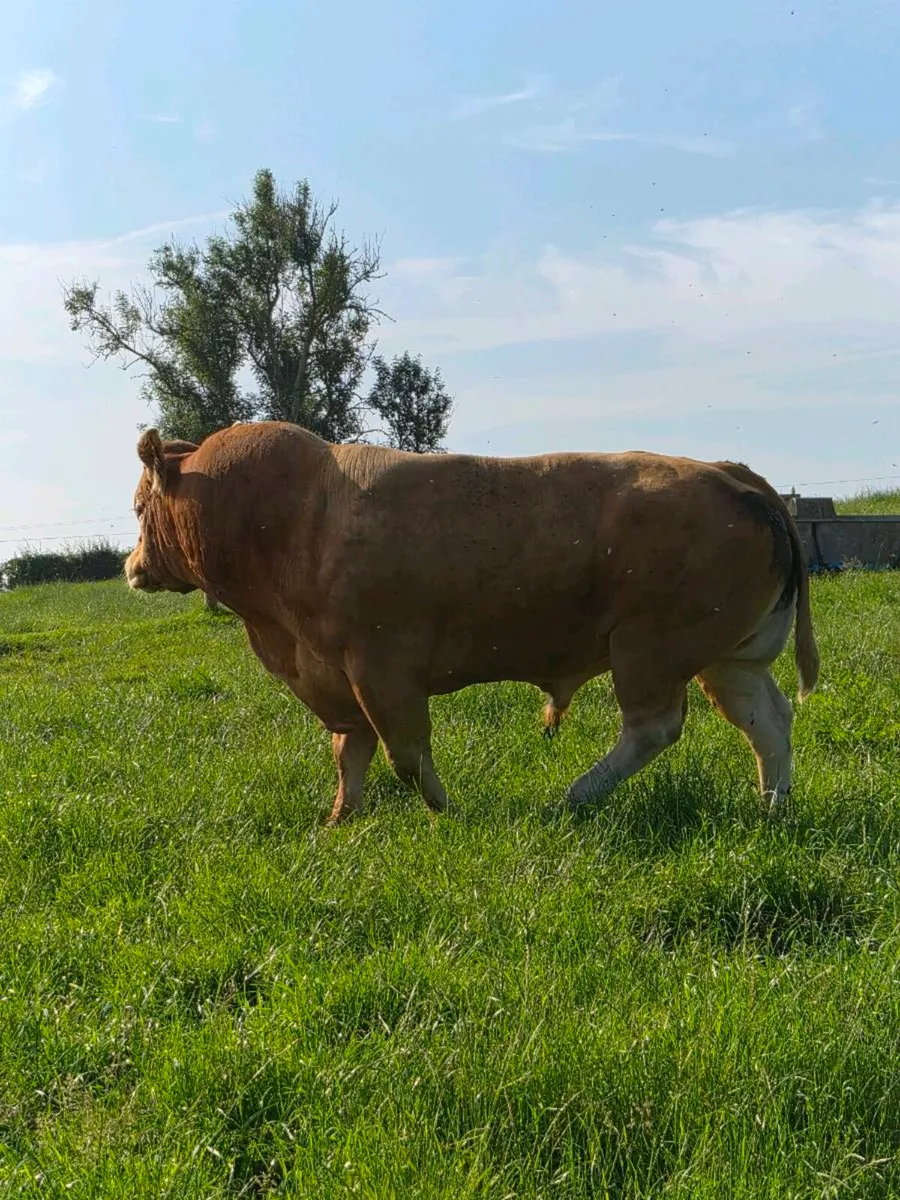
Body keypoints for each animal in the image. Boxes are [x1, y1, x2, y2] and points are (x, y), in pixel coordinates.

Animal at [125, 421, 819, 825]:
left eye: (137, 508)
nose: (131, 566)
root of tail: (728, 470)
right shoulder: (335, 676)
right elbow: (351, 753)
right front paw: (341, 819)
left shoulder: (381, 668)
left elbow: (405, 753)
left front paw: (442, 808)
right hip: (728, 658)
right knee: (768, 721)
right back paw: (771, 806)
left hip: (651, 649)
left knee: (655, 728)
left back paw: (574, 795)